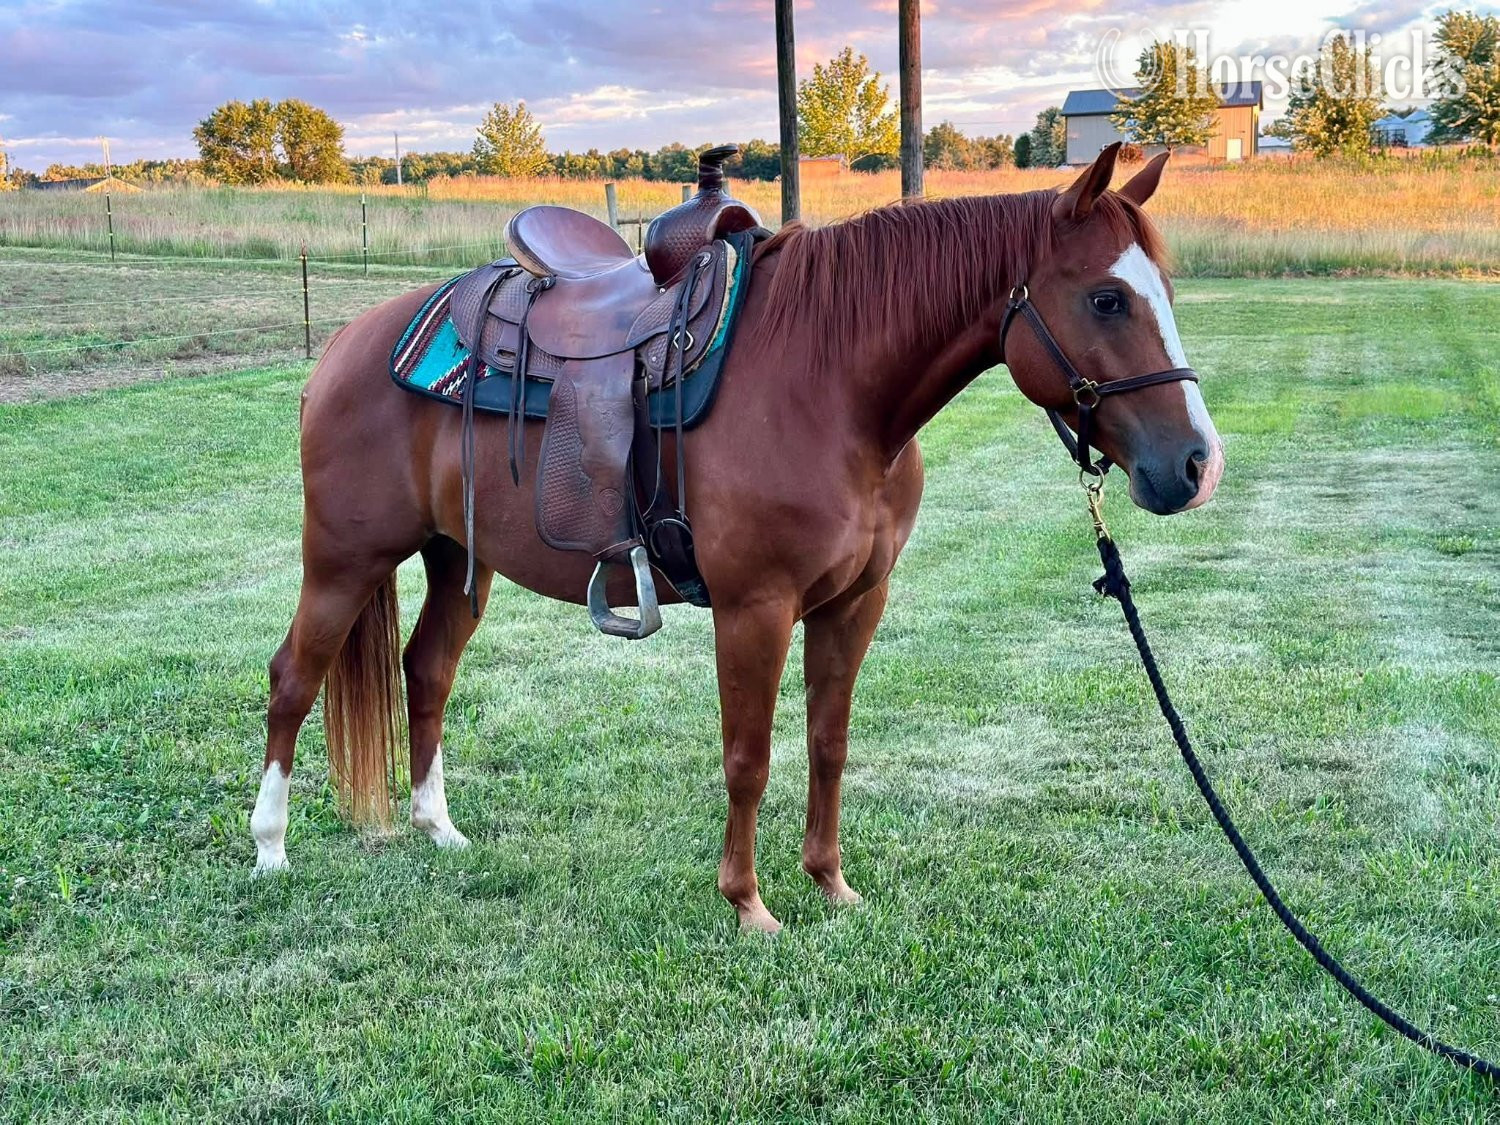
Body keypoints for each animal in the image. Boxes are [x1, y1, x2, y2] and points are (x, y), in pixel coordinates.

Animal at [251, 143, 1224, 933]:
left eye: (1168, 295)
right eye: (1106, 297)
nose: (1196, 465)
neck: (830, 386)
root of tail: (350, 343)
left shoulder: (854, 602)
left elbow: (828, 741)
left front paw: (830, 883)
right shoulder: (754, 608)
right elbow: (748, 756)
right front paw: (749, 902)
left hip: (461, 560)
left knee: (427, 671)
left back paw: (438, 828)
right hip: (344, 558)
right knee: (293, 678)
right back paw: (270, 847)